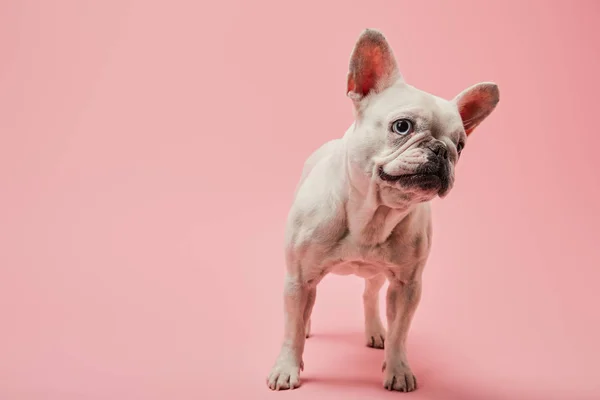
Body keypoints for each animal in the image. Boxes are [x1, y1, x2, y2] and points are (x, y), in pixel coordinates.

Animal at [266, 29, 496, 392]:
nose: (441, 150)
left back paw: (375, 330)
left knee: (370, 295)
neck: (371, 214)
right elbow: (291, 330)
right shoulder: (298, 278)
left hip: (377, 276)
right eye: (402, 126)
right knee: (306, 310)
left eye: (460, 146)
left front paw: (398, 369)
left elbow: (401, 331)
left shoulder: (407, 286)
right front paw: (287, 367)